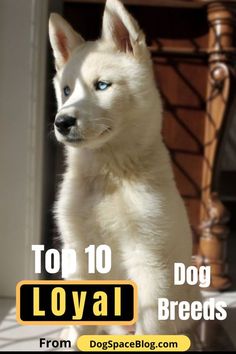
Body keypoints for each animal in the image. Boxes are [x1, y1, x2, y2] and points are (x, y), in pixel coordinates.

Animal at [48, 0, 200, 342]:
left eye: (102, 86)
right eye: (66, 90)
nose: (61, 122)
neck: (110, 175)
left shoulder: (149, 259)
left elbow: (151, 326)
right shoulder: (78, 252)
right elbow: (79, 323)